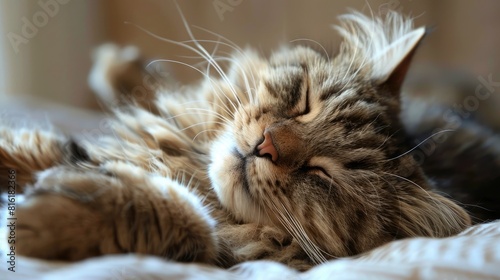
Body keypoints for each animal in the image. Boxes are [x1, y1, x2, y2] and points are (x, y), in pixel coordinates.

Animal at [0, 11, 470, 272]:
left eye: (322, 174)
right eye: (304, 103)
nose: (267, 145)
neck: (188, 162)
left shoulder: (227, 255)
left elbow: (186, 218)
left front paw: (45, 217)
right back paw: (119, 65)